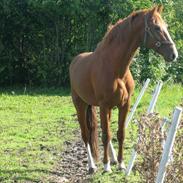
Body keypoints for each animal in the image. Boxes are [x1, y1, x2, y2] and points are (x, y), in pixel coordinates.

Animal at [68, 5, 177, 172]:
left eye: (166, 26)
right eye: (156, 27)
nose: (173, 54)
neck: (116, 69)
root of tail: (75, 62)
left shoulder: (124, 105)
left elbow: (120, 133)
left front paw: (120, 163)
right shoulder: (104, 105)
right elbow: (105, 135)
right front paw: (106, 166)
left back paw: (112, 159)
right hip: (80, 104)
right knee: (86, 134)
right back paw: (92, 166)